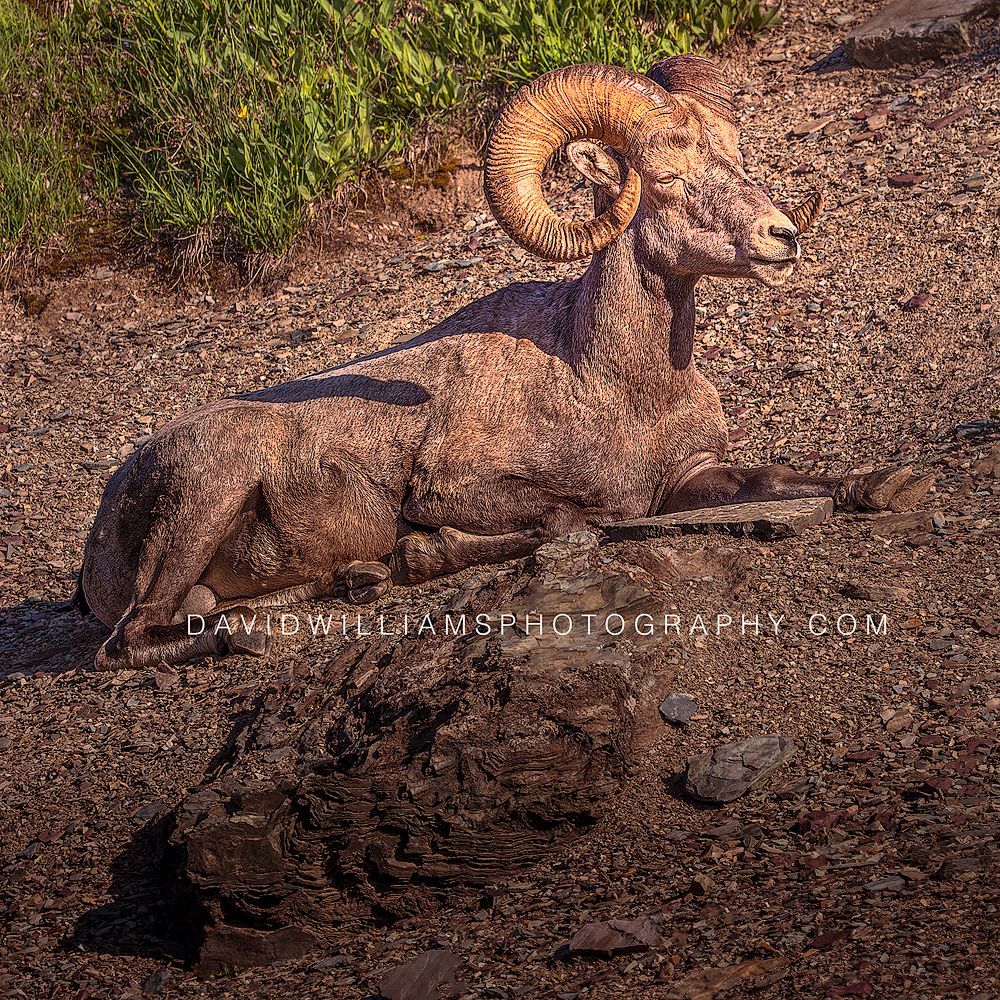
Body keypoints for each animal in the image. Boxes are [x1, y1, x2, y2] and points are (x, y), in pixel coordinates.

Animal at [74, 56, 932, 669]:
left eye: (739, 159)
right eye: (668, 180)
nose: (781, 236)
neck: (610, 386)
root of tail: (100, 535)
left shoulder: (690, 478)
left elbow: (783, 478)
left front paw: (880, 484)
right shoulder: (457, 485)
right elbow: (571, 520)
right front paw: (425, 551)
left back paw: (357, 579)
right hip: (209, 491)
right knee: (130, 640)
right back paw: (258, 633)